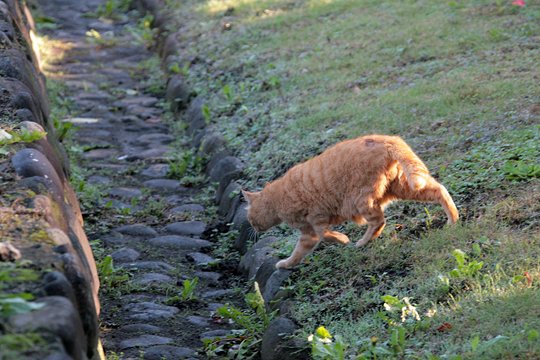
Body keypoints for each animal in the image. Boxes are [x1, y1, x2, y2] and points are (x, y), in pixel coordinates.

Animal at [243, 134, 458, 268]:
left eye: (250, 219)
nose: (252, 228)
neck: (277, 198)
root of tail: (386, 139)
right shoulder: (308, 232)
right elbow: (298, 253)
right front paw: (286, 265)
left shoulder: (315, 220)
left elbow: (325, 236)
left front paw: (343, 239)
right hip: (402, 187)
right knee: (439, 189)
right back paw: (453, 220)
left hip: (362, 199)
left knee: (378, 221)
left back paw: (362, 242)